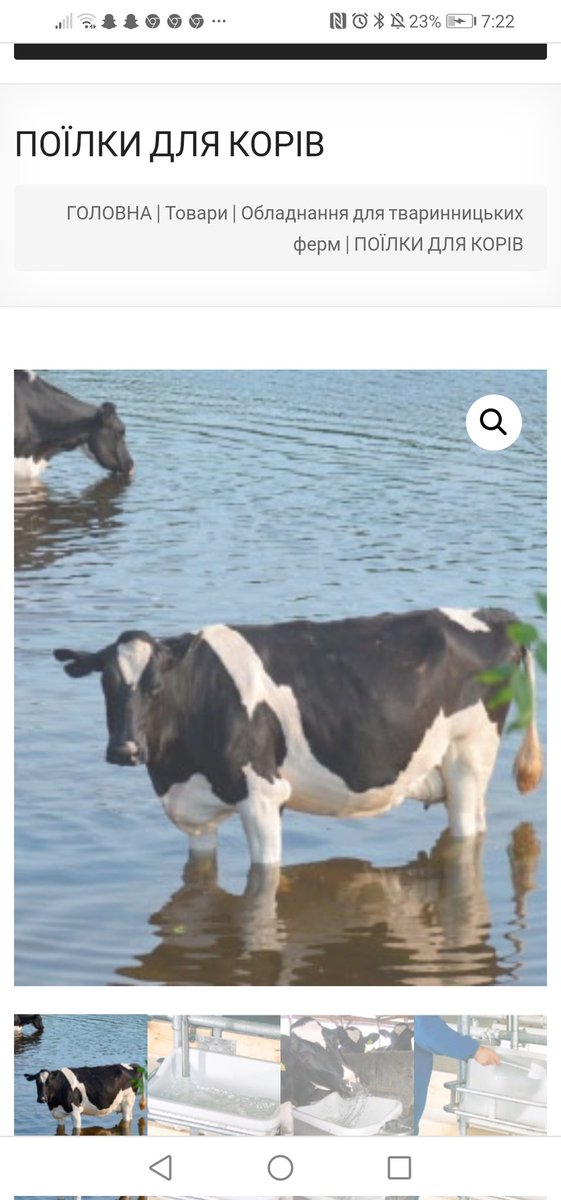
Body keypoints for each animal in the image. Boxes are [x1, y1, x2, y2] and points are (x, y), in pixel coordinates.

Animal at [54, 607, 543, 866]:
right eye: (106, 684)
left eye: (155, 687)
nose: (124, 749)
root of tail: (493, 616)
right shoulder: (195, 811)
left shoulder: (263, 795)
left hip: (468, 759)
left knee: (468, 830)